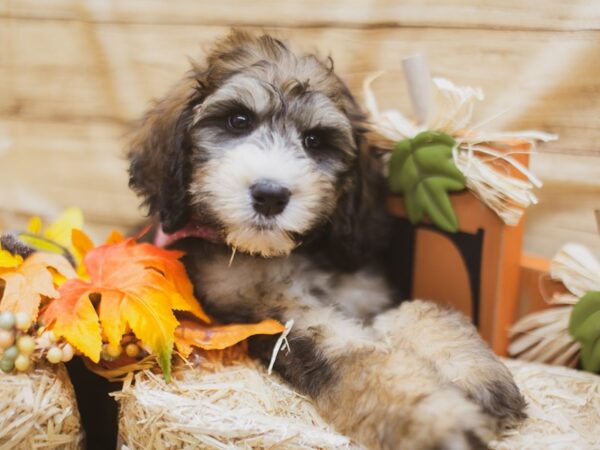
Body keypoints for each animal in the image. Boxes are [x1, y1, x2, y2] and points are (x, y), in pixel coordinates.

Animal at [126, 31, 524, 450]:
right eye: (238, 120)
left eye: (314, 140)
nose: (270, 195)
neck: (295, 255)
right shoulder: (285, 319)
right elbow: (362, 359)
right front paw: (434, 419)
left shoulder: (368, 293)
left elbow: (418, 312)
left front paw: (474, 375)